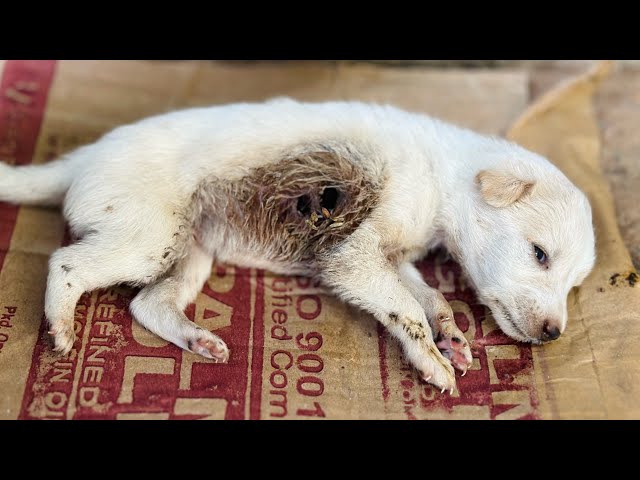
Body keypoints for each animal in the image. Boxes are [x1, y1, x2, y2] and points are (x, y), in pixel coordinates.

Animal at [0, 98, 596, 394]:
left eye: (572, 284)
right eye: (539, 254)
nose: (553, 335)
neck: (441, 172)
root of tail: (78, 160)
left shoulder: (392, 259)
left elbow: (430, 299)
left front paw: (452, 336)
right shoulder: (355, 259)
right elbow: (406, 311)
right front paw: (430, 360)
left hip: (189, 250)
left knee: (148, 304)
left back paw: (199, 341)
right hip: (149, 239)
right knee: (67, 263)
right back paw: (60, 327)